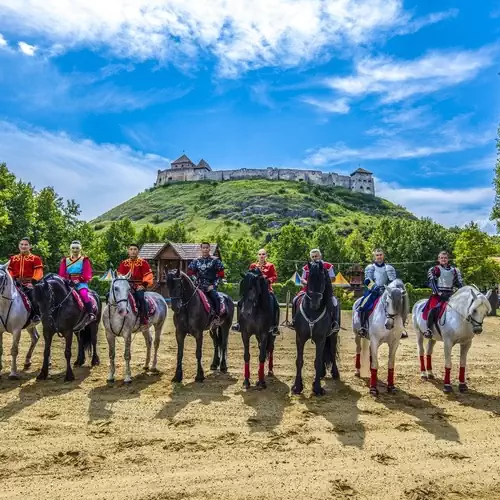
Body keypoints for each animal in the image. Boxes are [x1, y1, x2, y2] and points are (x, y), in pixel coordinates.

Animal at [290, 260, 340, 396]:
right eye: (309, 279)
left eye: (323, 280)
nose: (314, 303)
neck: (312, 311)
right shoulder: (300, 338)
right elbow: (299, 361)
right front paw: (297, 387)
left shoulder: (321, 338)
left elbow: (317, 361)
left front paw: (317, 388)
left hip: (333, 335)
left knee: (332, 351)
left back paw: (335, 373)